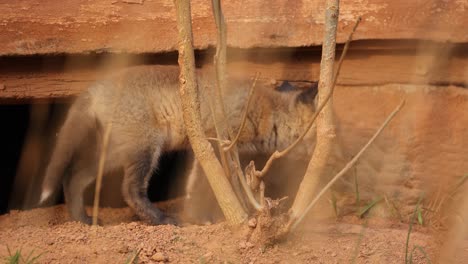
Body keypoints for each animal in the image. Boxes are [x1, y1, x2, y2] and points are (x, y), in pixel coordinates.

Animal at [40, 65, 318, 226]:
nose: (325, 165)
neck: (267, 112)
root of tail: (96, 87)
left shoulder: (205, 149)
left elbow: (196, 187)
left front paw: (197, 216)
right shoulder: (217, 143)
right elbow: (209, 187)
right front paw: (203, 218)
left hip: (111, 154)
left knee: (73, 177)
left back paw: (82, 219)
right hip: (144, 149)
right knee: (129, 190)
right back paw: (160, 219)